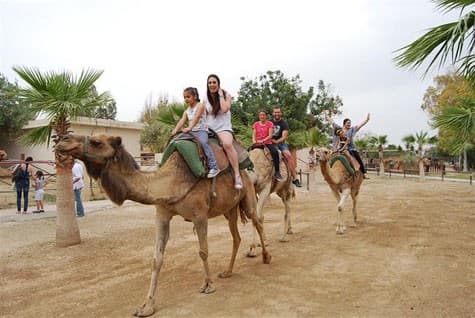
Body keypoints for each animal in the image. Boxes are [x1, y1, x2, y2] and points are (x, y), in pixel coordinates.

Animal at [55, 135, 272, 318]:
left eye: (96, 142)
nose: (62, 140)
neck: (169, 183)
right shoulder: (162, 215)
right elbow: (156, 259)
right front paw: (147, 306)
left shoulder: (199, 215)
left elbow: (203, 251)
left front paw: (208, 285)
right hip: (230, 209)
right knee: (236, 236)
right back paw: (227, 271)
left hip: (248, 195)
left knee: (257, 220)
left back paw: (266, 256)